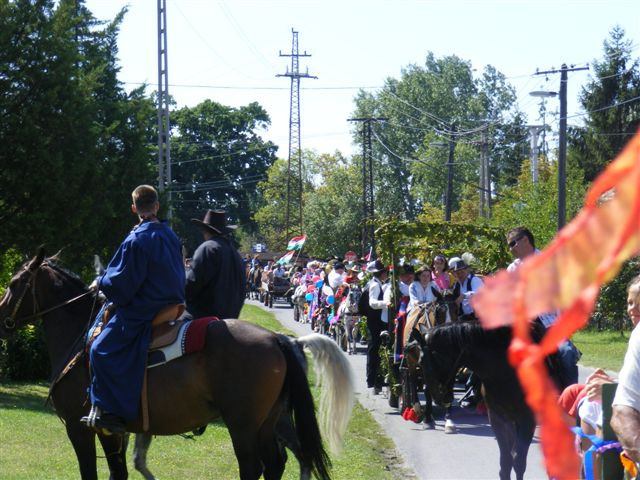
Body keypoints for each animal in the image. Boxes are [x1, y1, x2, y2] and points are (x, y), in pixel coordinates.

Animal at [0, 249, 356, 478]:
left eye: (15, 284)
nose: (3, 319)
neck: (80, 334)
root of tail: (279, 339)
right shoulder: (116, 431)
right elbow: (121, 471)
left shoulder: (80, 427)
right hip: (267, 421)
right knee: (277, 463)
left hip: (243, 424)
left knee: (255, 466)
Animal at [418, 320, 556, 480]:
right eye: (420, 361)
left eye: (434, 359)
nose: (437, 397)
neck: (506, 371)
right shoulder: (498, 418)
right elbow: (506, 463)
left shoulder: (527, 420)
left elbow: (519, 463)